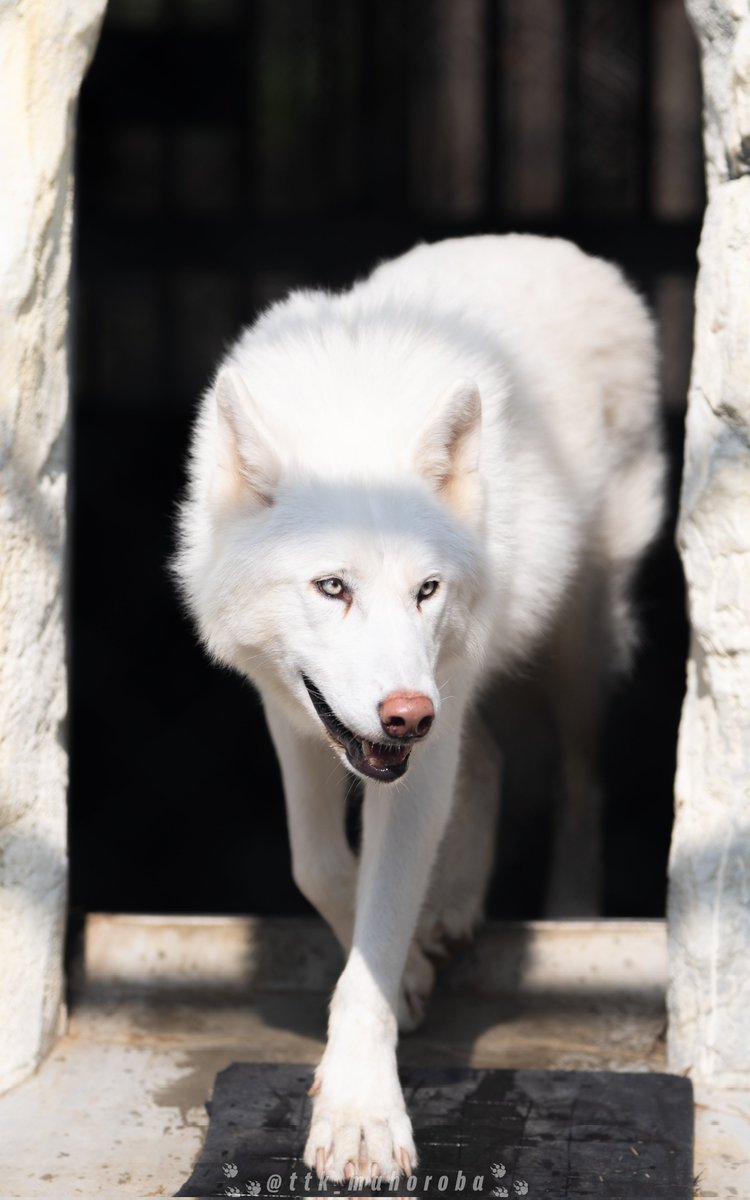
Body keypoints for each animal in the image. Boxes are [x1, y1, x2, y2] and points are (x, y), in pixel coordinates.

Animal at [174, 235, 664, 1182]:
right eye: (332, 587)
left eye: (425, 589)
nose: (406, 714)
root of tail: (568, 249)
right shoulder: (292, 710)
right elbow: (322, 867)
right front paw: (407, 974)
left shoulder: (422, 738)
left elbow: (380, 906)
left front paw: (361, 1112)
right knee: (490, 761)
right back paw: (454, 908)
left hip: (571, 644)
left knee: (581, 779)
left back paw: (574, 909)